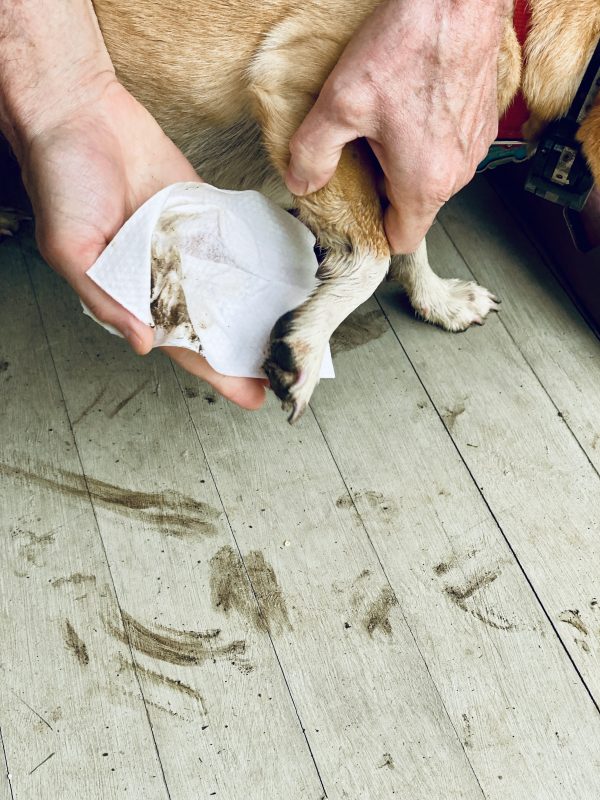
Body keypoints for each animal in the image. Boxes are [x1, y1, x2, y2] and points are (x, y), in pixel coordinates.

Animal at [90, 0, 600, 422]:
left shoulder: (411, 158)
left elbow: (409, 237)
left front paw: (438, 299)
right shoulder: (317, 106)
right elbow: (376, 253)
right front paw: (308, 343)